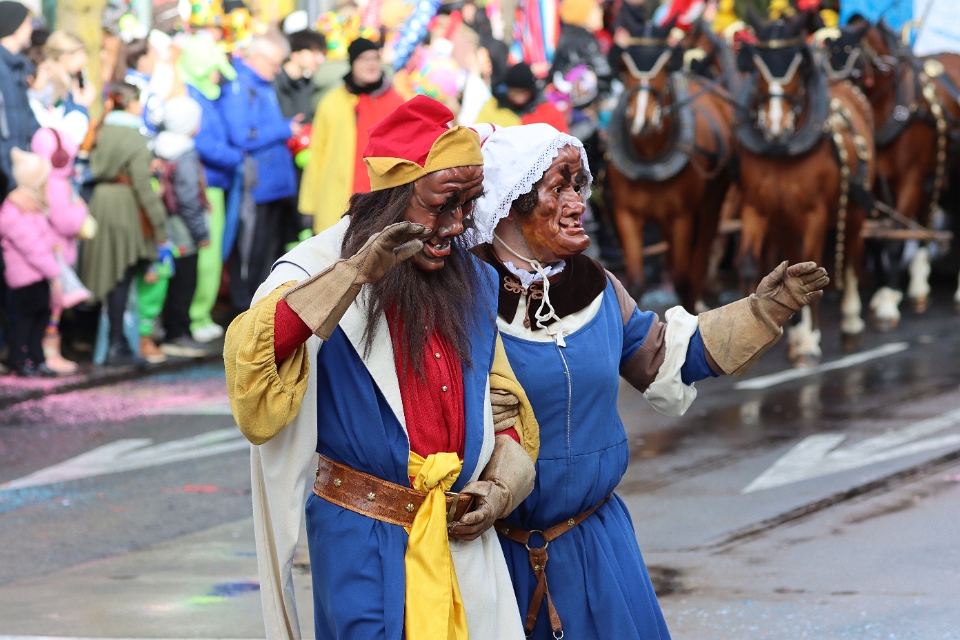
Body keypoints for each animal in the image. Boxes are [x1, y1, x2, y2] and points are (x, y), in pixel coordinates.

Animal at [606, 19, 735, 313]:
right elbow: (636, 282)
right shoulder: (626, 213)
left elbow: (682, 280)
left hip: (711, 205)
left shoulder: (682, 217)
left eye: (665, 67)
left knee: (701, 255)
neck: (649, 158)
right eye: (624, 70)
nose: (640, 122)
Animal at [735, 12, 875, 366]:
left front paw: (810, 342)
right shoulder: (756, 210)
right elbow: (751, 263)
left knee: (852, 254)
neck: (782, 152)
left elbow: (811, 265)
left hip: (853, 208)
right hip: (785, 220)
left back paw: (850, 321)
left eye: (798, 65)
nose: (775, 126)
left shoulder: (815, 215)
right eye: (756, 65)